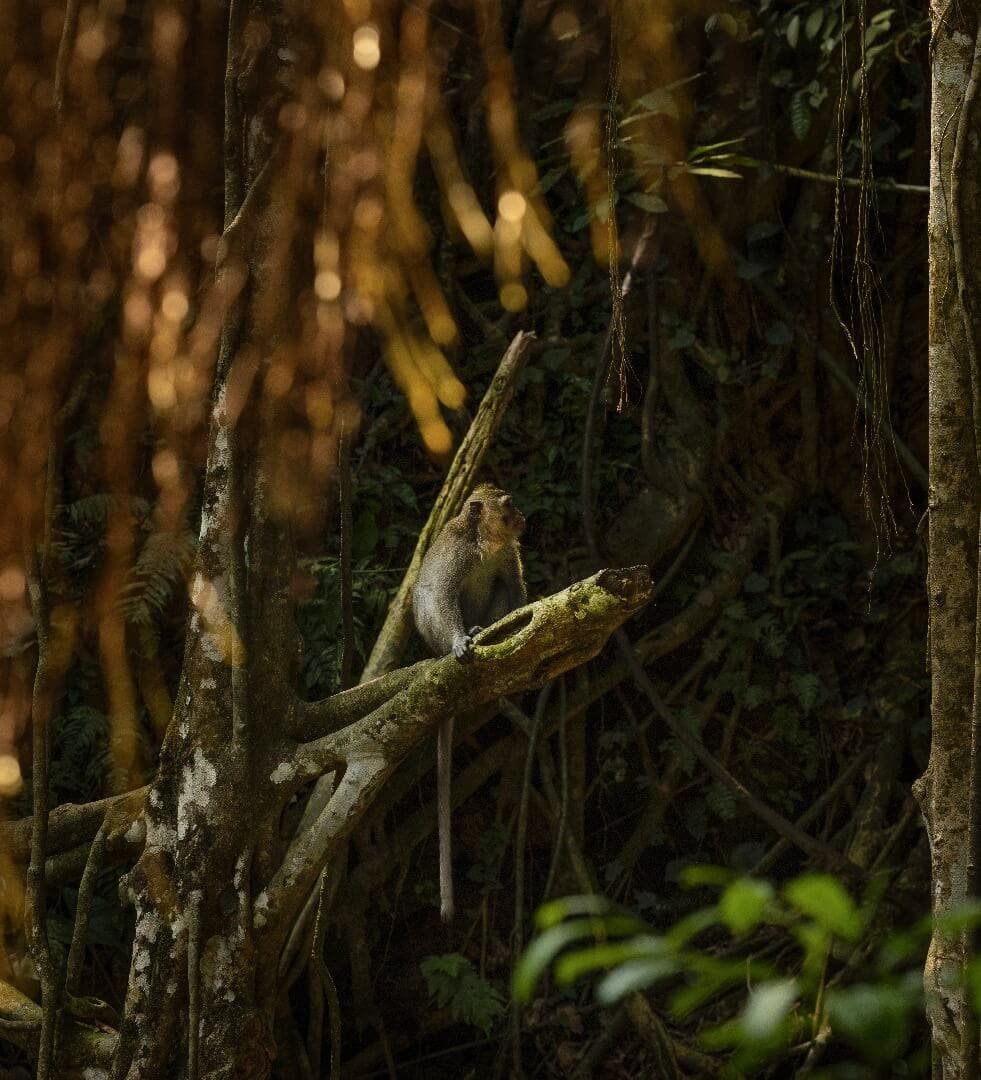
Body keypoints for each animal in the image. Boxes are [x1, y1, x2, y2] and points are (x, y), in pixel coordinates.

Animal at [412, 484, 527, 922]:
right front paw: (460, 640)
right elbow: (437, 593)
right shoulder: (457, 552)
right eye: (508, 505)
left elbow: (514, 588)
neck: (485, 543)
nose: (523, 516)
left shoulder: (508, 553)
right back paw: (467, 636)